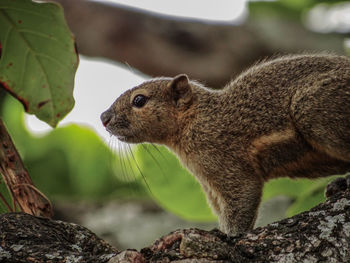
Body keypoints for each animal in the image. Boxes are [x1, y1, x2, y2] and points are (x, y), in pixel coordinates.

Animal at [100, 54, 350, 237]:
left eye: (139, 100)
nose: (104, 117)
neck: (197, 120)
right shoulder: (210, 186)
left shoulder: (225, 160)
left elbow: (242, 199)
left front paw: (229, 235)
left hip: (314, 108)